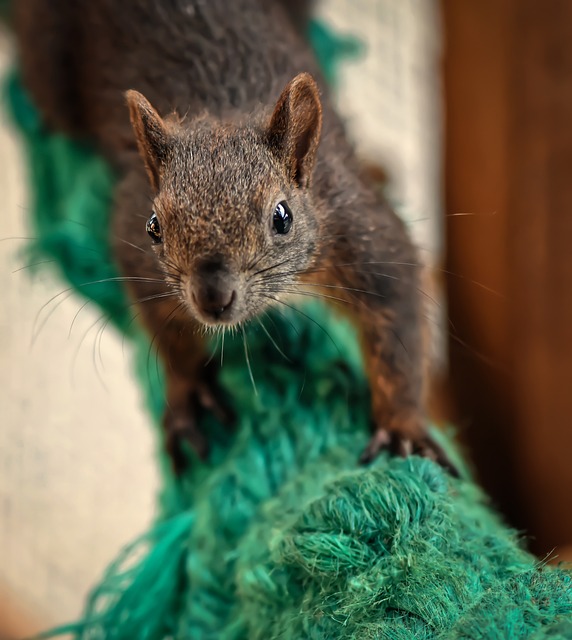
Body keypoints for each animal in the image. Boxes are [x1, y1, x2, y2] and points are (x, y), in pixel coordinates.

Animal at [13, 0, 456, 476]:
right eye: (154, 226)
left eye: (282, 217)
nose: (211, 296)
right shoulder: (133, 239)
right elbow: (165, 328)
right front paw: (188, 390)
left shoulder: (356, 227)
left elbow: (397, 319)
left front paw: (402, 427)